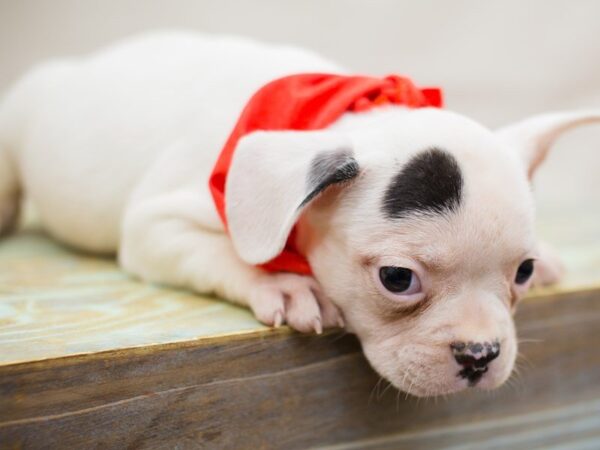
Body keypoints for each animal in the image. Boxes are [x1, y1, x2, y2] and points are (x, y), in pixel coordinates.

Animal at [1, 32, 600, 398]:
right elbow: (227, 253)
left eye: (522, 272)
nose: (480, 355)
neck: (348, 114)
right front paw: (287, 283)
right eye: (397, 279)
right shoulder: (157, 224)